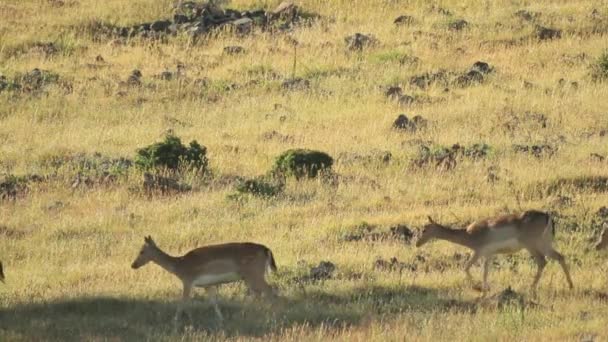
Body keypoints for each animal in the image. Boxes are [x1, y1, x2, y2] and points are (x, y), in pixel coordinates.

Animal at [133, 236, 278, 322]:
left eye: (142, 251)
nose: (133, 265)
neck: (179, 266)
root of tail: (267, 250)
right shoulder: (207, 285)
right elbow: (213, 301)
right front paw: (221, 319)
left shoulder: (188, 280)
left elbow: (183, 302)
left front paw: (175, 321)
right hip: (249, 276)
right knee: (257, 293)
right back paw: (247, 314)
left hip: (254, 273)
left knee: (269, 289)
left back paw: (272, 315)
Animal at [416, 210, 572, 296]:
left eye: (424, 229)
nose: (417, 243)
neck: (468, 234)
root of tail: (547, 216)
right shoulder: (488, 255)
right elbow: (484, 272)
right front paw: (484, 290)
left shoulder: (479, 252)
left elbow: (467, 267)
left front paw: (478, 289)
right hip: (545, 244)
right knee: (560, 257)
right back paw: (571, 286)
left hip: (532, 245)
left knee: (542, 261)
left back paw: (531, 288)